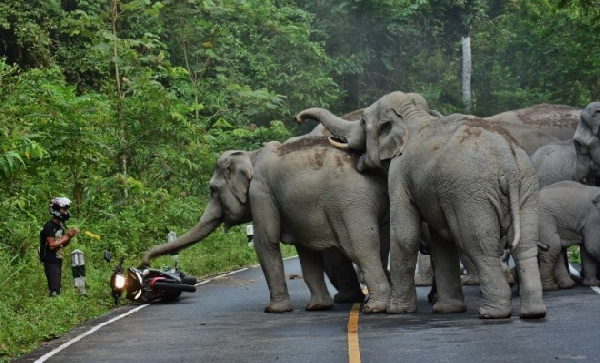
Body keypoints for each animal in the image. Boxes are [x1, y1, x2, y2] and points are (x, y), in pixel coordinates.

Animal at [142, 135, 392, 314]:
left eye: (212, 189)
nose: (144, 261)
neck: (250, 156)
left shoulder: (260, 192)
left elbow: (265, 242)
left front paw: (273, 310)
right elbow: (306, 253)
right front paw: (317, 307)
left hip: (350, 204)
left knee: (360, 249)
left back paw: (375, 307)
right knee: (381, 248)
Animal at [296, 91, 548, 322]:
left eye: (363, 122)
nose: (298, 118)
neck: (412, 116)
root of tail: (507, 158)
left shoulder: (399, 174)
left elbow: (404, 236)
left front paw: (396, 311)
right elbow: (441, 241)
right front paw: (446, 310)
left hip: (471, 193)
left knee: (479, 245)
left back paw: (492, 313)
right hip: (527, 185)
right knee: (525, 245)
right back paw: (533, 312)